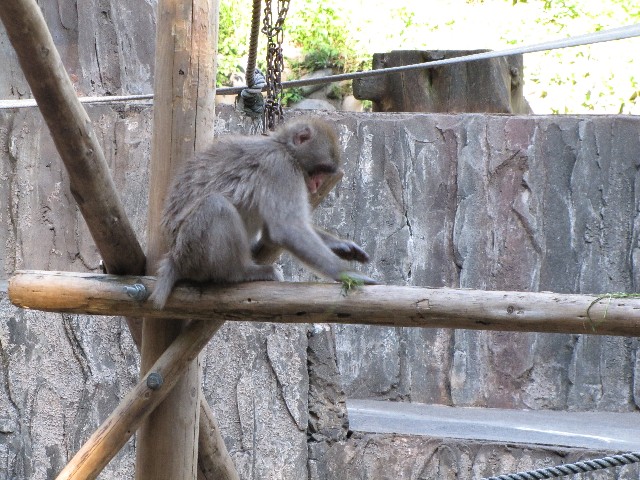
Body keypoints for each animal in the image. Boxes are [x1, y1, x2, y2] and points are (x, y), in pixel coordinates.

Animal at [150, 118, 378, 310]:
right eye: (319, 170)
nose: (316, 184)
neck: (284, 148)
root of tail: (174, 258)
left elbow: (273, 232)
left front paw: (340, 245)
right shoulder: (280, 168)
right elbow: (287, 228)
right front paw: (347, 274)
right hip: (190, 252)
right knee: (216, 205)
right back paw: (240, 273)